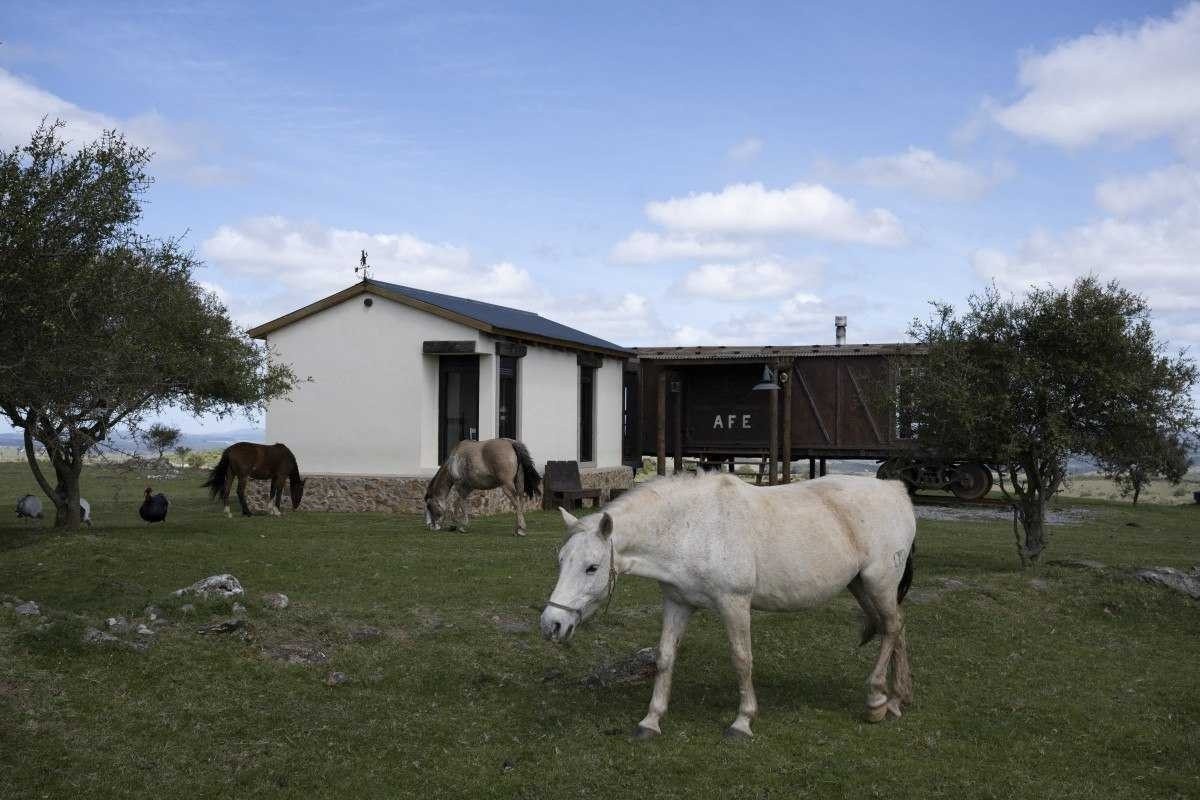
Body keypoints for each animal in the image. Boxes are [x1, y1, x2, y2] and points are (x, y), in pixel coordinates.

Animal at [540, 472, 912, 743]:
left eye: (591, 567)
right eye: (560, 561)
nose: (551, 624)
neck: (692, 529)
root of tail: (895, 490)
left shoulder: (734, 604)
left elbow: (741, 659)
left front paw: (742, 722)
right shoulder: (677, 603)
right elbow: (665, 658)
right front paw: (651, 720)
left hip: (878, 582)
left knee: (892, 628)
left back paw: (876, 701)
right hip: (863, 586)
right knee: (895, 628)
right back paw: (897, 699)